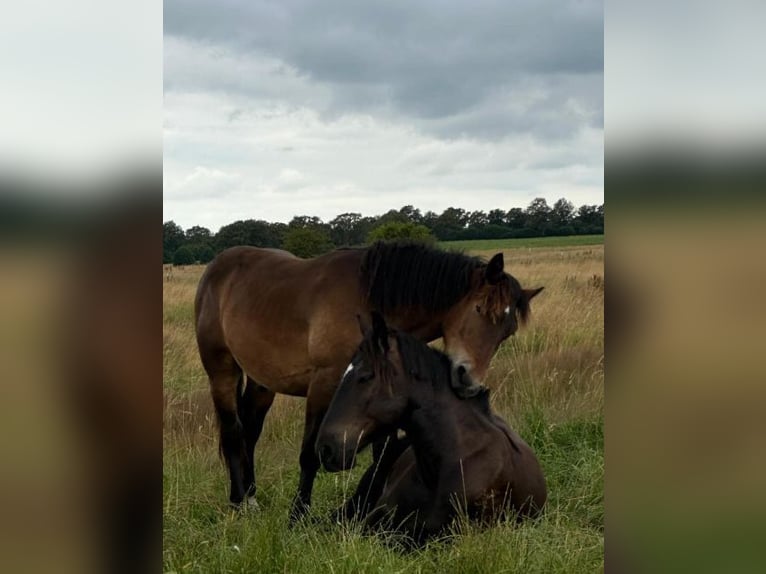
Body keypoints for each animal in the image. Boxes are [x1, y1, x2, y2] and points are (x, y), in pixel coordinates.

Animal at [194, 240, 543, 519]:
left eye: (507, 331)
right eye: (480, 309)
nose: (468, 380)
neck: (369, 300)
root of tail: (217, 266)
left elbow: (382, 453)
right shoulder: (324, 386)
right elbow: (309, 455)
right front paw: (298, 516)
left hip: (262, 381)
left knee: (250, 433)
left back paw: (249, 497)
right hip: (222, 371)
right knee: (233, 432)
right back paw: (240, 503)